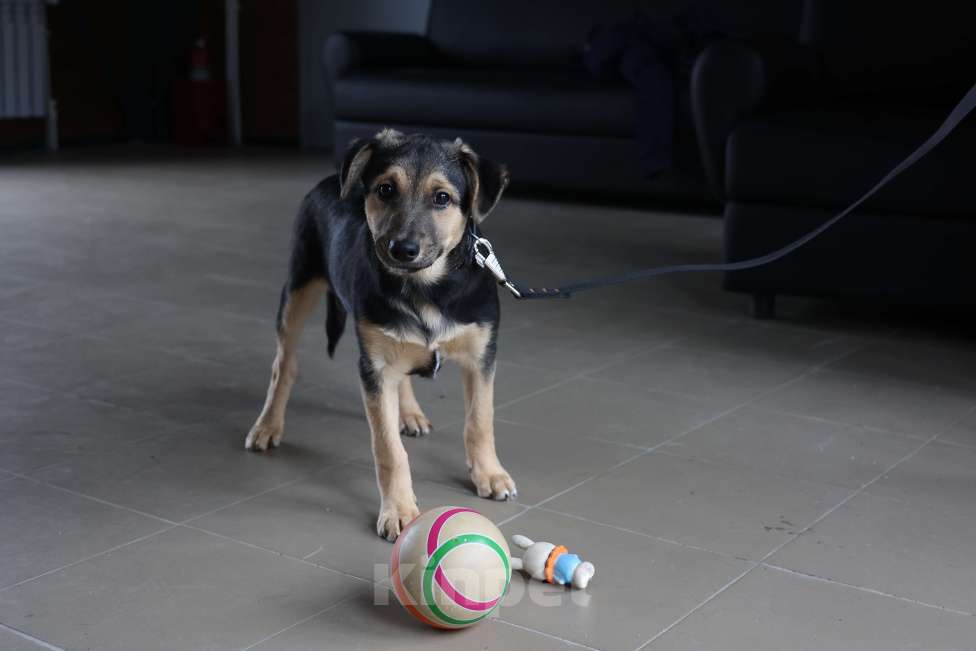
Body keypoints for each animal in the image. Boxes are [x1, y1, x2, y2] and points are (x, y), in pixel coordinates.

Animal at [246, 131, 520, 540]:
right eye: (385, 189)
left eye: (442, 198)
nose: (402, 249)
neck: (425, 289)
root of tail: (332, 179)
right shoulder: (373, 367)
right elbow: (388, 448)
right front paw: (399, 510)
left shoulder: (481, 354)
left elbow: (480, 420)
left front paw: (489, 474)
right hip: (299, 286)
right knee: (284, 364)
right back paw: (267, 425)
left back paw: (409, 413)